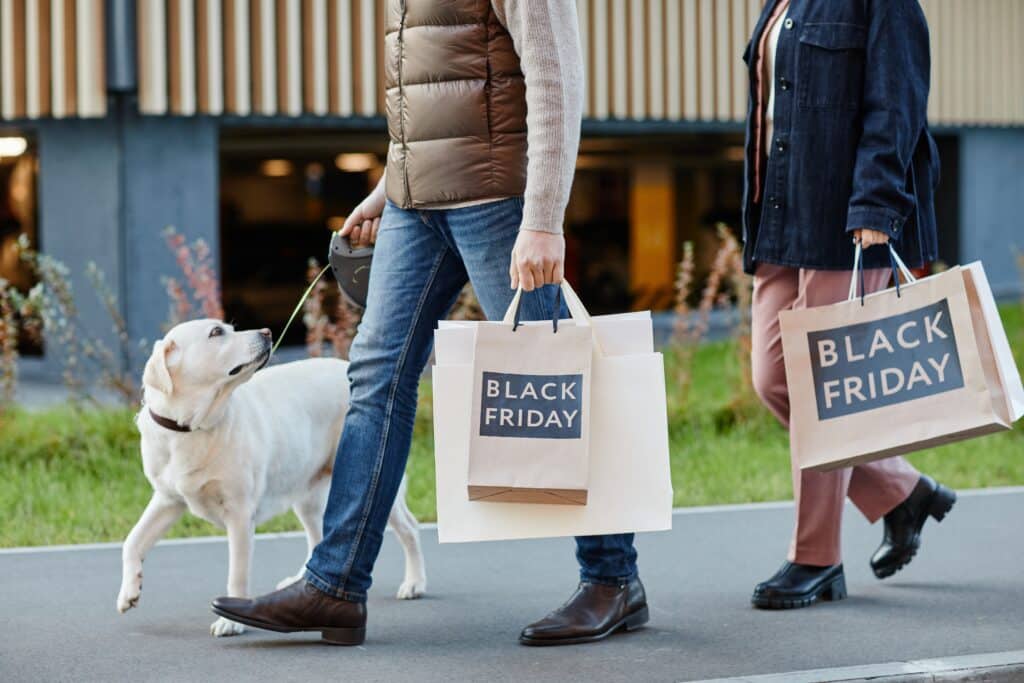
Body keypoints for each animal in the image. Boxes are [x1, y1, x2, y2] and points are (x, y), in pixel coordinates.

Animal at [117, 317, 428, 638]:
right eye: (217, 332)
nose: (266, 332)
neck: (190, 427)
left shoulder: (240, 513)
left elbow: (237, 572)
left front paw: (231, 620)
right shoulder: (168, 500)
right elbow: (132, 541)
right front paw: (129, 592)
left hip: (381, 487)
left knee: (409, 528)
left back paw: (414, 583)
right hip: (306, 495)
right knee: (317, 537)